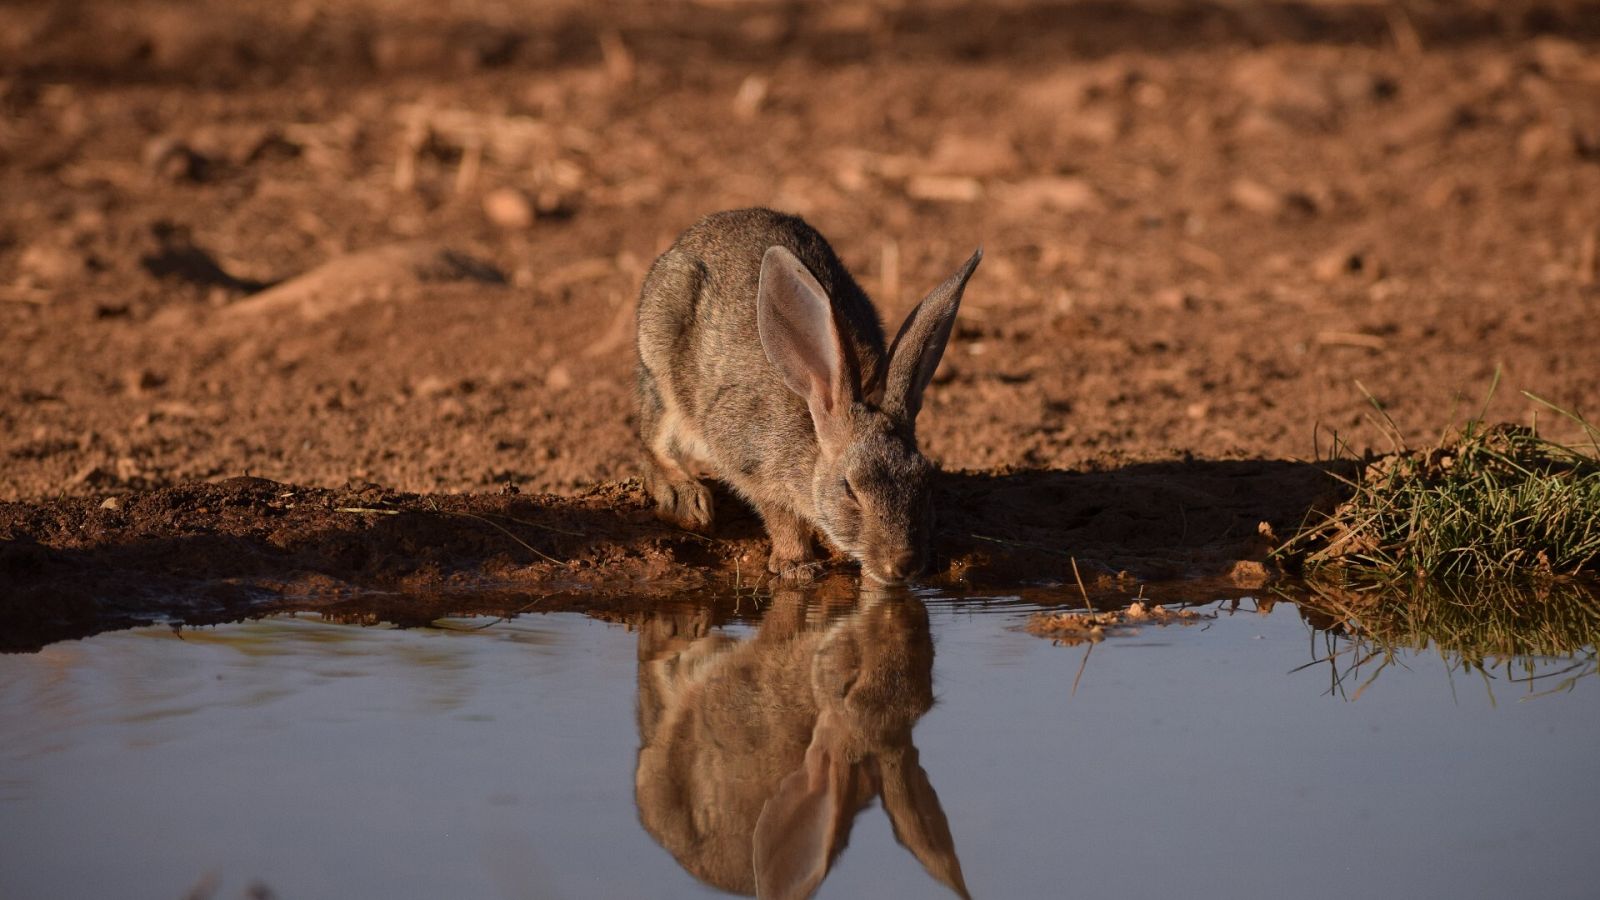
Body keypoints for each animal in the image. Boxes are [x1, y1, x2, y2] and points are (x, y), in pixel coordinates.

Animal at [633, 204, 979, 582]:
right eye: (849, 489)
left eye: (925, 482)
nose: (903, 565)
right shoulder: (751, 462)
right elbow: (779, 515)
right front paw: (796, 566)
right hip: (663, 365)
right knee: (652, 440)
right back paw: (685, 500)